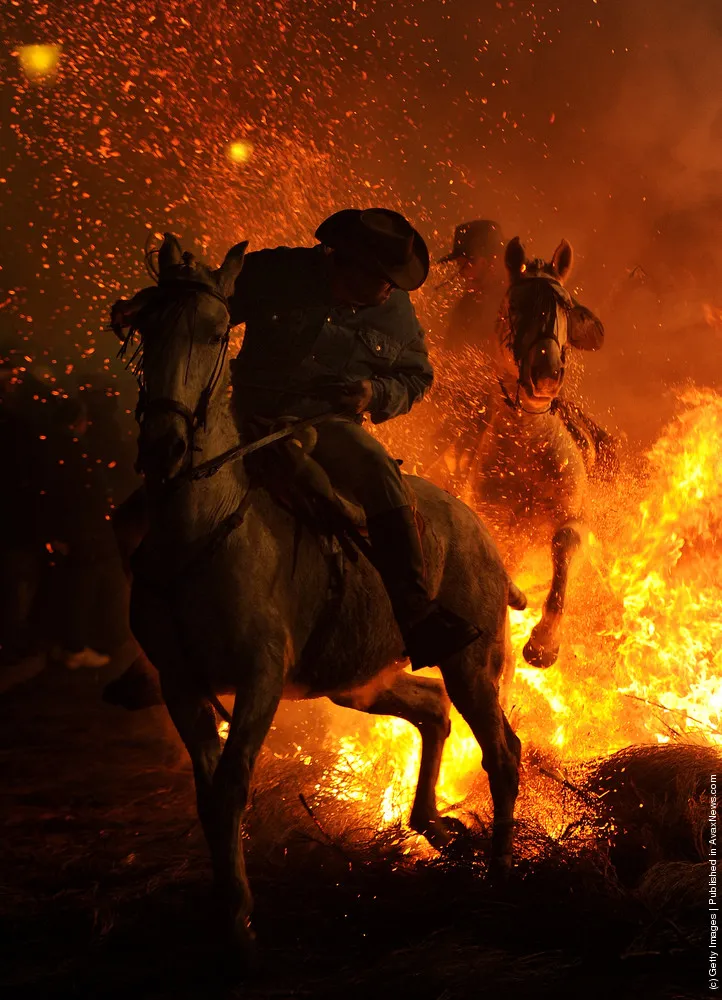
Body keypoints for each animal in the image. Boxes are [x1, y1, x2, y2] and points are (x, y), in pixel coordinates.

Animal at [112, 234, 524, 968]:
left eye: (215, 331)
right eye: (147, 328)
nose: (164, 445)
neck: (208, 523)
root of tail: (479, 531)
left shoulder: (260, 677)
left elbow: (232, 787)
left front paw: (240, 926)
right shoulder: (182, 682)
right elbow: (209, 798)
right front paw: (227, 914)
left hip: (474, 665)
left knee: (503, 753)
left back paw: (500, 873)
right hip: (358, 682)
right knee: (432, 712)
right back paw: (430, 824)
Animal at [424, 238, 612, 668]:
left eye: (566, 308)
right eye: (515, 304)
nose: (546, 374)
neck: (529, 449)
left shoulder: (576, 521)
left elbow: (564, 544)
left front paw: (543, 643)